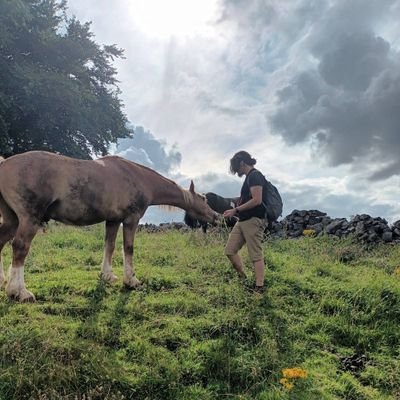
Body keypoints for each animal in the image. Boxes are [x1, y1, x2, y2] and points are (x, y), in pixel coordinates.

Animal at [0, 150, 219, 300]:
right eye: (203, 199)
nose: (216, 216)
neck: (138, 177)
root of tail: (4, 163)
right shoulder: (131, 220)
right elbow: (128, 248)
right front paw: (131, 281)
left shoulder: (113, 221)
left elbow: (110, 246)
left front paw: (107, 276)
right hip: (29, 219)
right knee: (19, 247)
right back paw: (18, 291)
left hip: (12, 221)